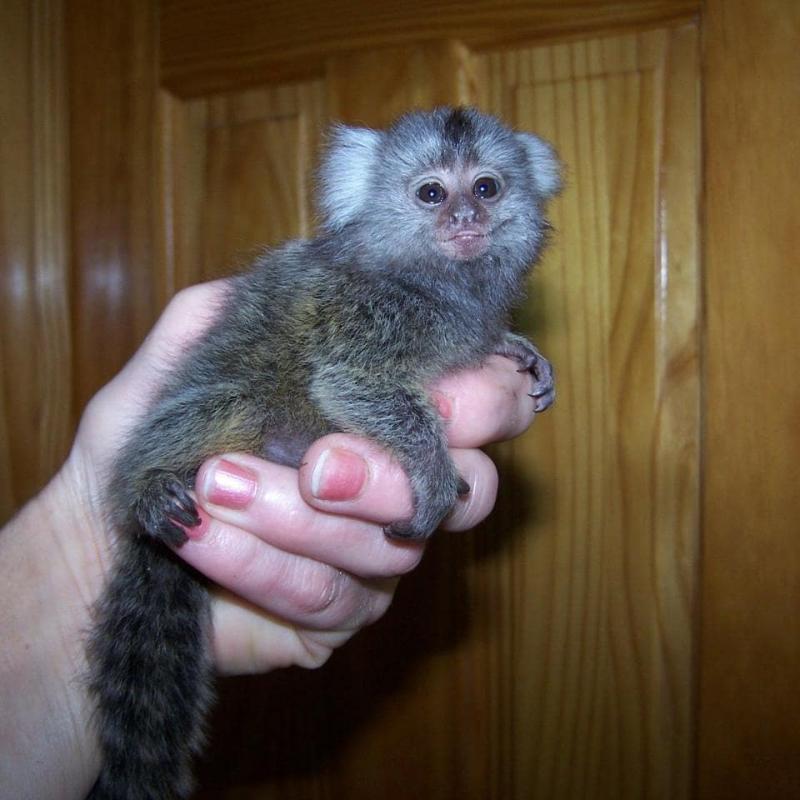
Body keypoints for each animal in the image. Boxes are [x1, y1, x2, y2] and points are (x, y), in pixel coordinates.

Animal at [85, 106, 561, 799]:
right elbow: (345, 382)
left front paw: (509, 344)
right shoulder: (368, 318)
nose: (465, 218)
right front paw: (434, 473)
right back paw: (148, 490)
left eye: (486, 188)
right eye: (432, 194)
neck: (435, 281)